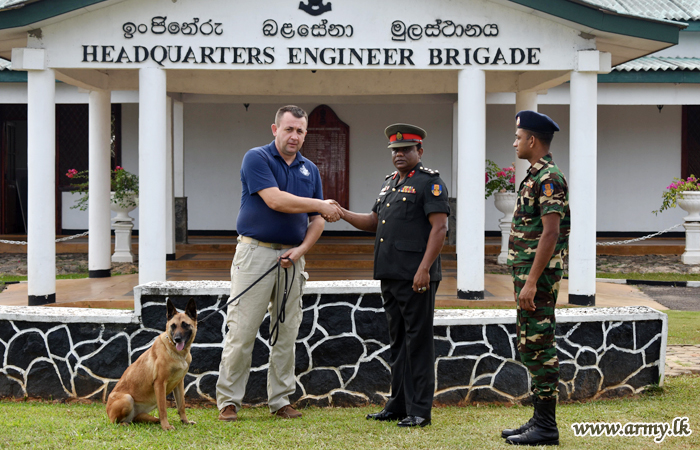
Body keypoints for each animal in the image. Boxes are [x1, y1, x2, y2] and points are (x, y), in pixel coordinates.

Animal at [108, 298, 198, 428]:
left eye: (185, 325)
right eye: (173, 326)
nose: (177, 339)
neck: (176, 352)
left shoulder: (179, 383)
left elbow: (181, 405)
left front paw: (185, 421)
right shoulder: (160, 383)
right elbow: (163, 408)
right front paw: (166, 427)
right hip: (127, 398)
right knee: (114, 422)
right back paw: (124, 424)